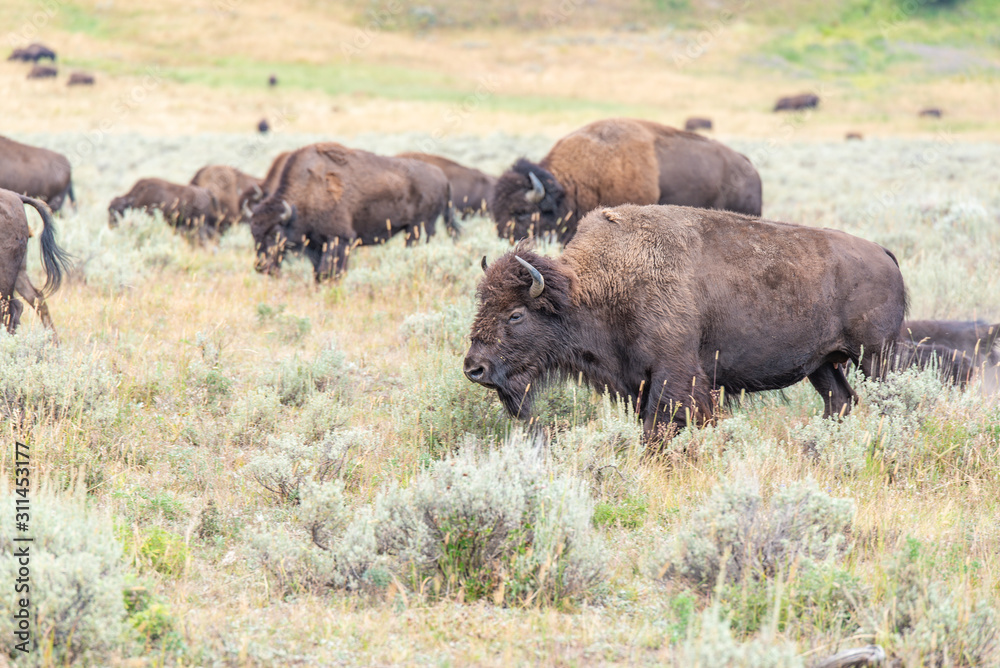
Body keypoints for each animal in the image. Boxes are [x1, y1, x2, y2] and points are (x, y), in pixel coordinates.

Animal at [249, 142, 458, 280]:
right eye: (253, 234)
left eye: (275, 233)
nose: (261, 267)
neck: (308, 190)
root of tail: (443, 177)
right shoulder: (315, 245)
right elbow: (319, 272)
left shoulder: (340, 239)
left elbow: (331, 271)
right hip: (412, 228)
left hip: (420, 226)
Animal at [462, 201, 908, 436]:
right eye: (482, 302)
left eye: (515, 314)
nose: (474, 368)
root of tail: (884, 253)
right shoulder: (637, 382)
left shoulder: (673, 374)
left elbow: (663, 424)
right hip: (823, 364)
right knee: (840, 400)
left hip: (876, 357)